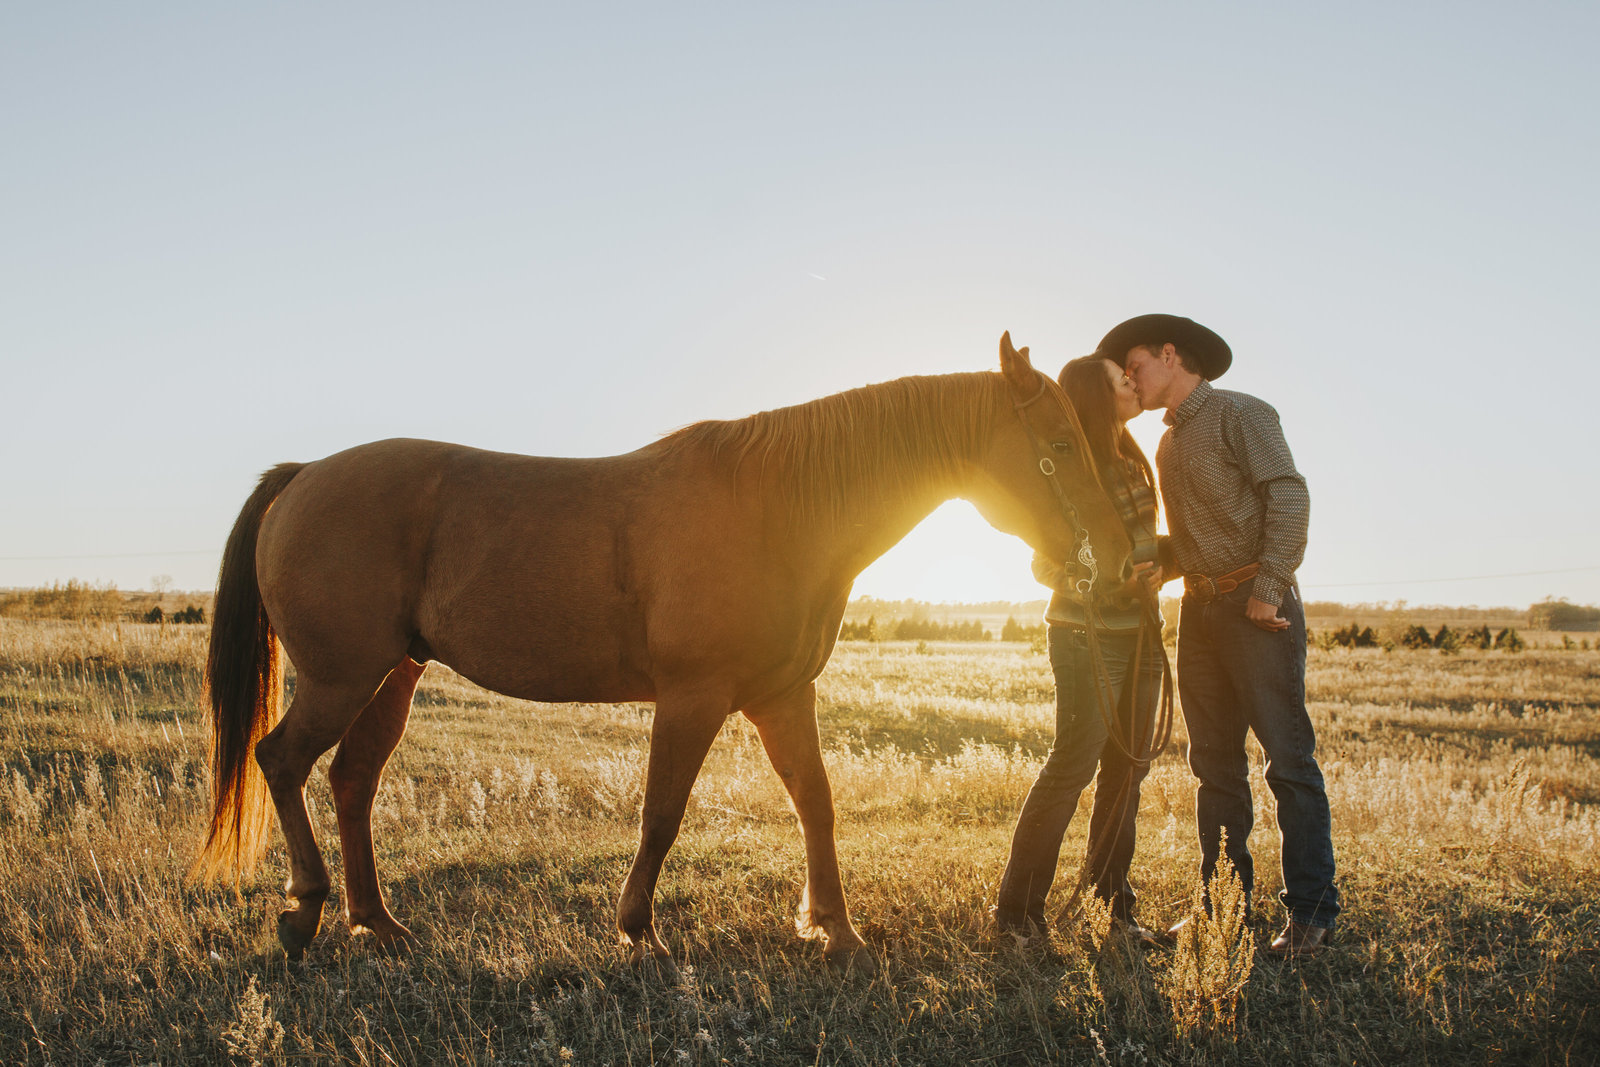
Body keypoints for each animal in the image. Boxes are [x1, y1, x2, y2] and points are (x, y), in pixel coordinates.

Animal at [193, 334, 1132, 979]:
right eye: (1058, 440)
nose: (1123, 559)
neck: (775, 509)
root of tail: (306, 474)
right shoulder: (694, 698)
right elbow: (663, 812)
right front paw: (639, 927)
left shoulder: (782, 697)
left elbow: (817, 804)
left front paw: (835, 926)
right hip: (341, 677)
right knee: (281, 760)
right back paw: (305, 910)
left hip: (392, 675)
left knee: (351, 778)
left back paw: (377, 921)